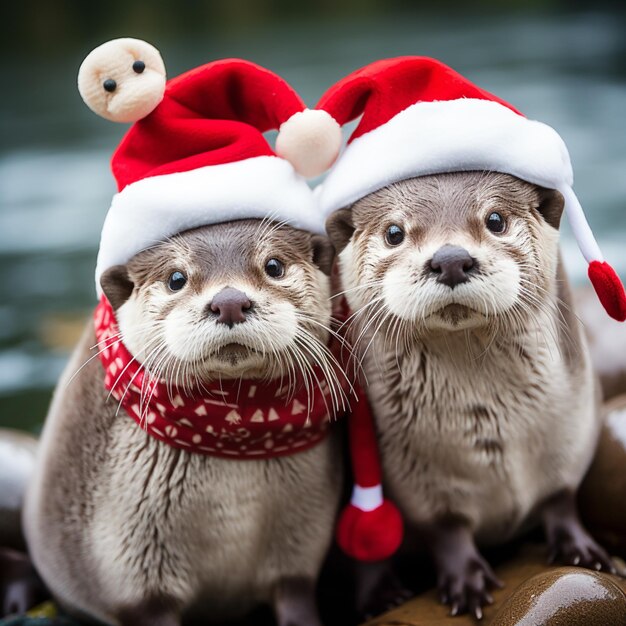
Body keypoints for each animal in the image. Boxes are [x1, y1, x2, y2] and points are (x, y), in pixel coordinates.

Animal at [326, 171, 616, 620]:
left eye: (495, 219)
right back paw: (382, 597)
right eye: (394, 232)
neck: (493, 429)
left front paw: (582, 550)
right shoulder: (419, 479)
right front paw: (467, 583)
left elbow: (561, 500)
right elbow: (448, 531)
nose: (449, 259)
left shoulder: (571, 428)